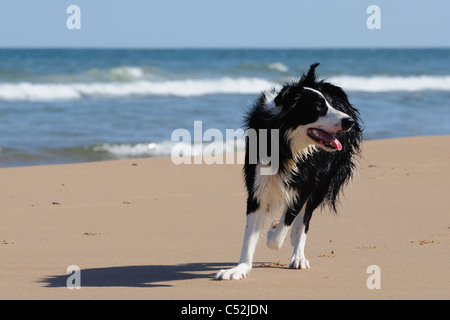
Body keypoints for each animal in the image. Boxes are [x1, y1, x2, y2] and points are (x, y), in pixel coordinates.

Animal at [214, 63, 362, 280]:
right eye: (318, 107)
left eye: (329, 104)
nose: (349, 121)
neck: (285, 143)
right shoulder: (257, 185)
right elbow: (250, 234)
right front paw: (240, 268)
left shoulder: (306, 183)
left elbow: (280, 233)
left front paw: (276, 230)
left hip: (322, 183)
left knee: (304, 219)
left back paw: (298, 255)